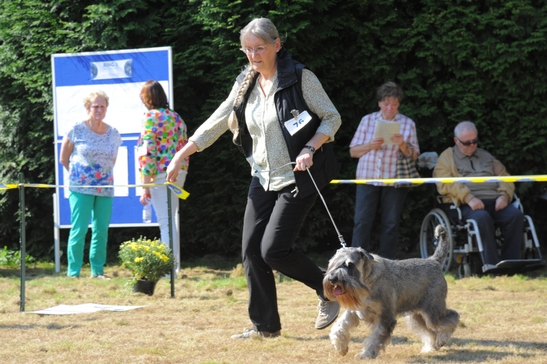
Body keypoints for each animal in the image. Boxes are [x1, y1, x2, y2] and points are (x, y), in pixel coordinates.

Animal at [324, 225, 460, 358]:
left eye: (350, 264)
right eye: (332, 263)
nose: (332, 279)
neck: (367, 281)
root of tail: (434, 261)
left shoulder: (385, 316)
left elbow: (376, 338)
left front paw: (366, 355)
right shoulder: (356, 309)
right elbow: (339, 326)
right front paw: (341, 347)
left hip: (431, 311)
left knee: (452, 317)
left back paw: (442, 339)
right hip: (416, 315)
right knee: (429, 331)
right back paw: (430, 348)